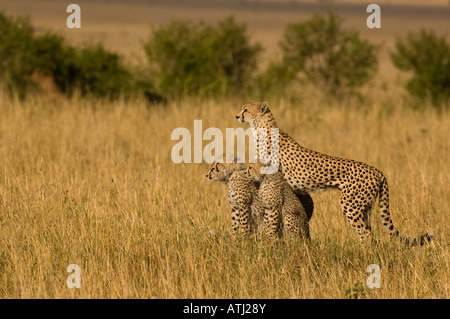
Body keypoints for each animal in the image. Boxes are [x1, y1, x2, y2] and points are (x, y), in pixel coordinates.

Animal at [237, 101, 434, 246]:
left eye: (246, 109)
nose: (237, 116)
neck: (261, 128)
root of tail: (377, 170)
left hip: (350, 204)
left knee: (365, 233)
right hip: (365, 207)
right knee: (370, 233)